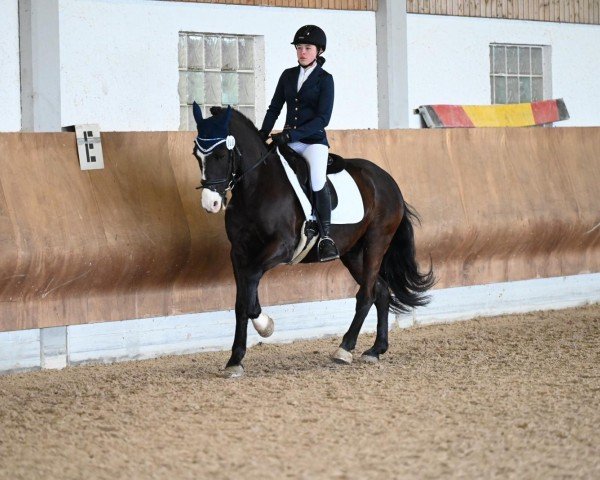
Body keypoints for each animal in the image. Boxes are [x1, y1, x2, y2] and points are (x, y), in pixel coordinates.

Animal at [192, 103, 432, 376]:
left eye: (221, 154)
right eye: (196, 155)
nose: (210, 204)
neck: (257, 187)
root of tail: (387, 180)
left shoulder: (281, 248)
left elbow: (250, 286)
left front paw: (265, 325)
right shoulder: (239, 253)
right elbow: (242, 301)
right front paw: (235, 360)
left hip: (377, 242)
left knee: (366, 295)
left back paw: (345, 349)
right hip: (353, 252)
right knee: (380, 290)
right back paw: (375, 350)